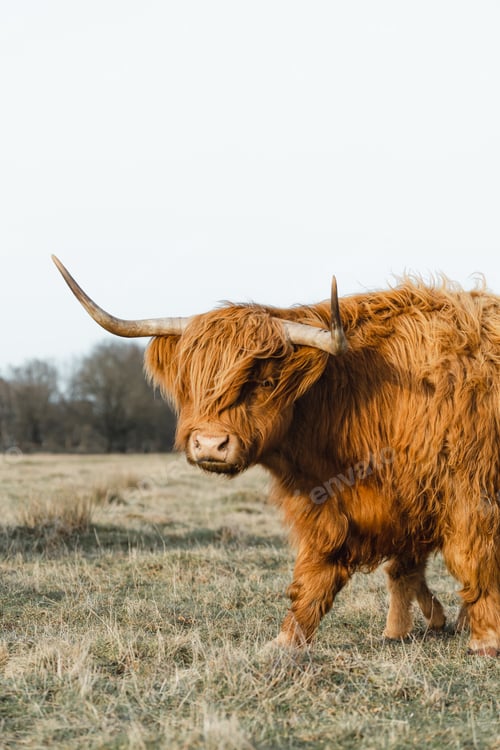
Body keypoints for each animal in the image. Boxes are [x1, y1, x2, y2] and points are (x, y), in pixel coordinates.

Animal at [52, 256, 500, 657]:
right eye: (194, 383)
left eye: (265, 382)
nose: (210, 444)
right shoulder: (339, 504)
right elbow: (334, 572)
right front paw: (290, 640)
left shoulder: (466, 492)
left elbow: (469, 558)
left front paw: (485, 638)